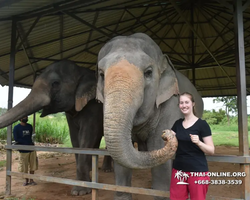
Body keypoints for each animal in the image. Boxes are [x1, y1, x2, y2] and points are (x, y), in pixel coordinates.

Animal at [0, 60, 112, 195]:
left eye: (55, 83)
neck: (81, 71)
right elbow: (75, 138)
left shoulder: (94, 105)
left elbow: (87, 135)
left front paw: (80, 192)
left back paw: (107, 170)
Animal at [95, 32, 203, 199]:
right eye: (101, 74)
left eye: (148, 73)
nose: (167, 134)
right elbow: (121, 161)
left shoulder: (171, 102)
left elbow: (157, 148)